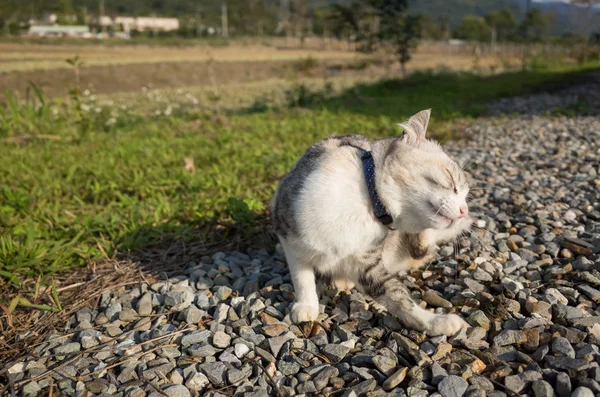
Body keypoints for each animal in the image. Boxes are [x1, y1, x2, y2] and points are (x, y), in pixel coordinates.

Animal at [272, 108, 474, 334]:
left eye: (465, 195)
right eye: (452, 181)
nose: (464, 210)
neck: (367, 203)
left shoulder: (368, 264)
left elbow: (397, 295)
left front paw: (435, 322)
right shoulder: (287, 230)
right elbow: (301, 275)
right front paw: (306, 304)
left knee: (421, 249)